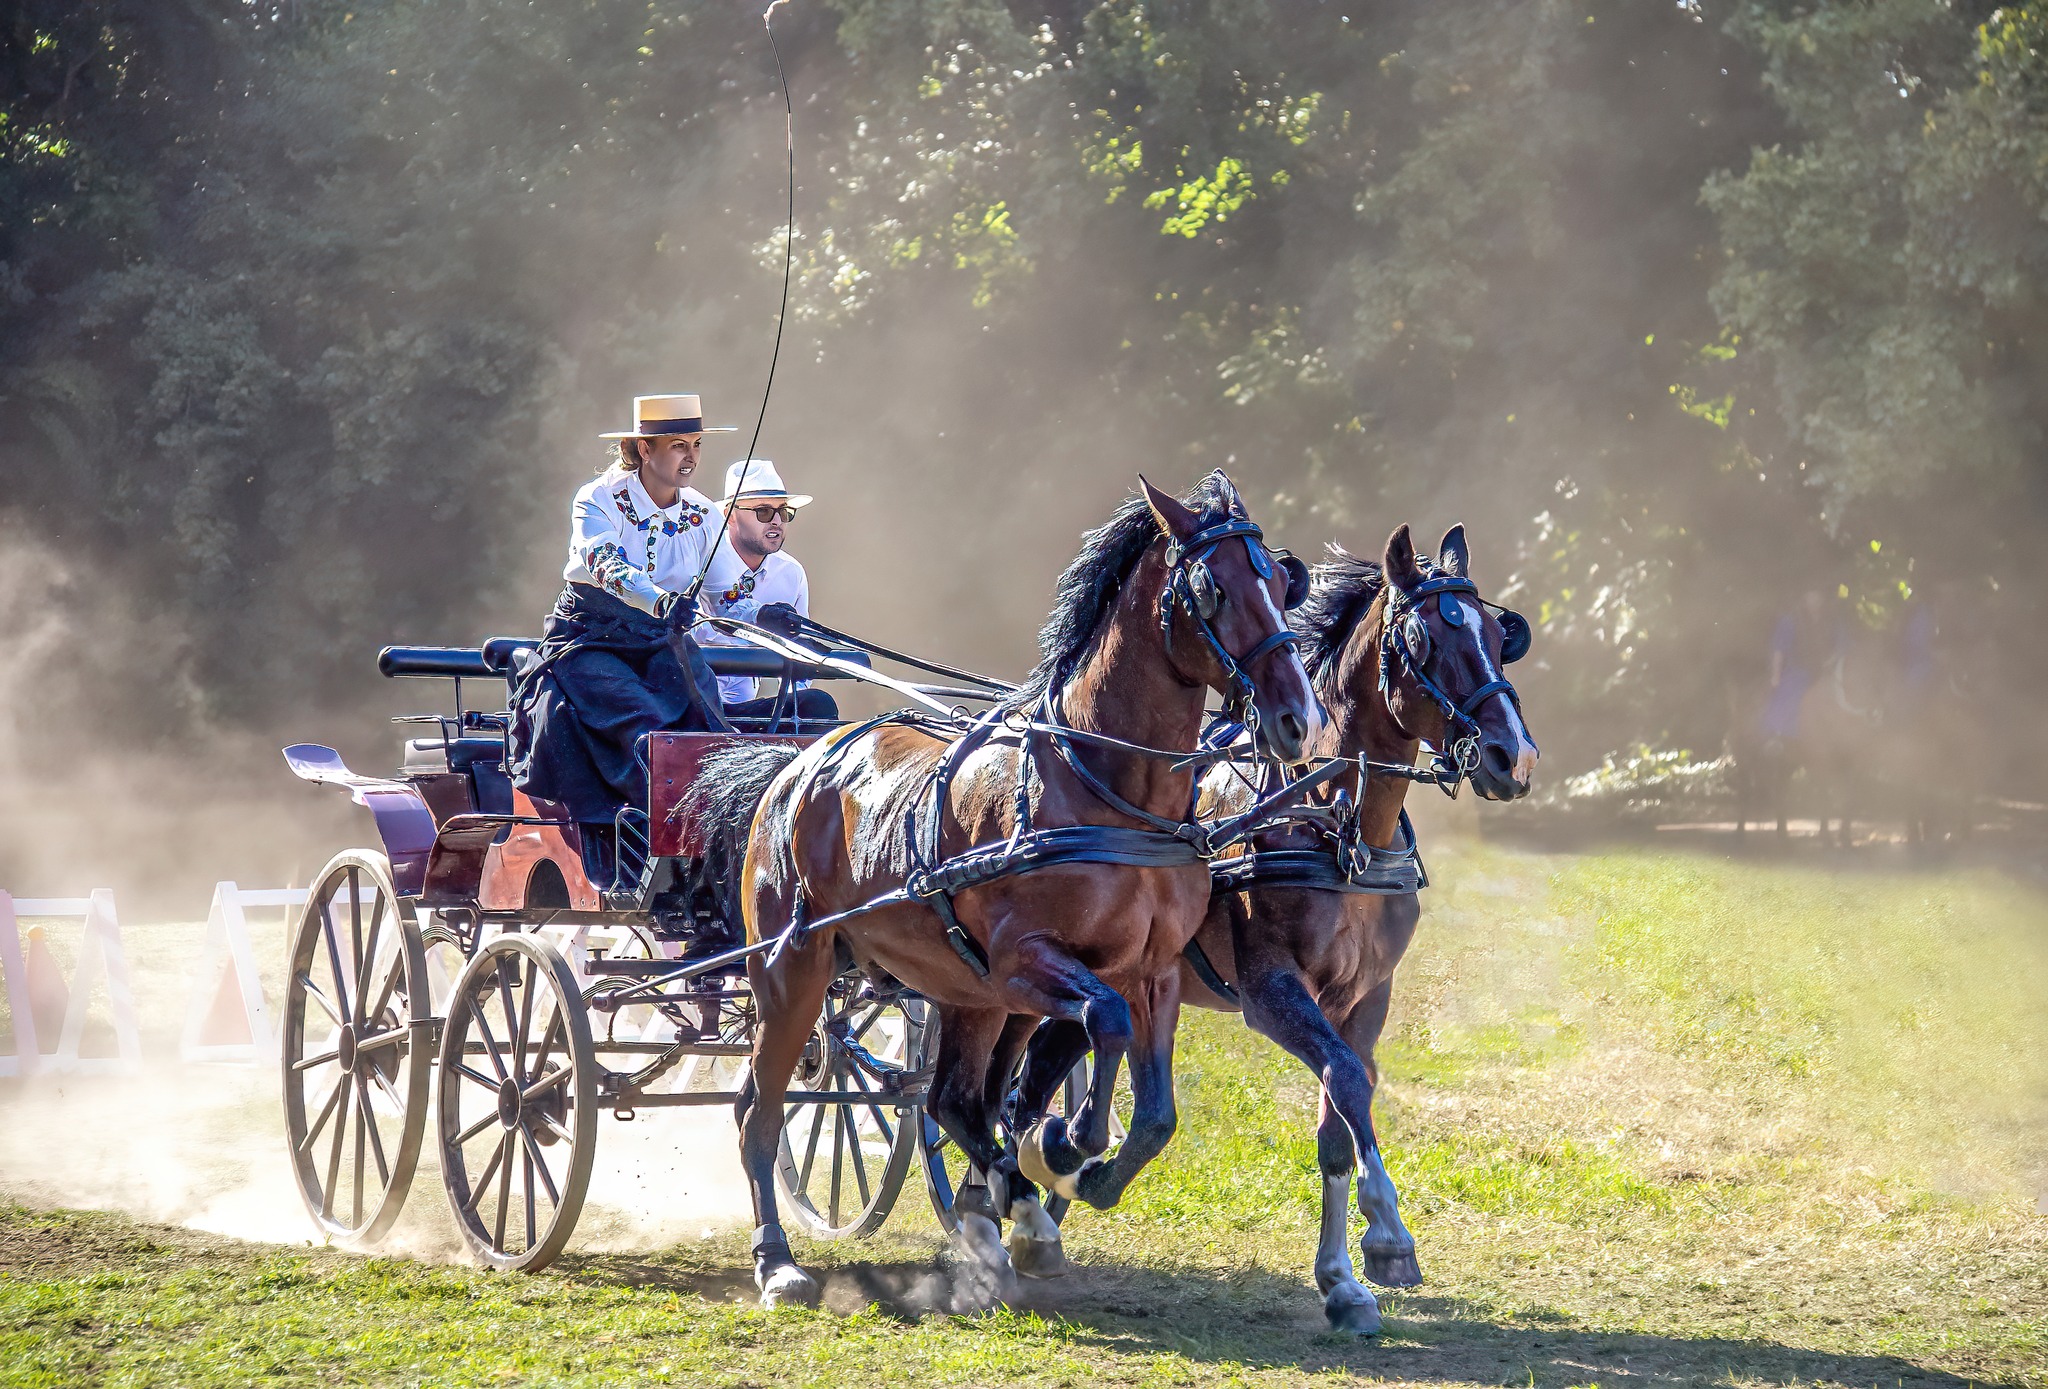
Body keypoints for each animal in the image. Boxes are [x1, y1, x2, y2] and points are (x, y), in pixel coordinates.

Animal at [696, 475, 1318, 1302]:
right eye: (1213, 588)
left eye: (1283, 583)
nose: (1296, 717)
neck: (1107, 789)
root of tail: (790, 767)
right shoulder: (1030, 958)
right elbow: (1102, 1024)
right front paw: (1067, 1141)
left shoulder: (1149, 971)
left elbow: (1153, 1113)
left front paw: (1067, 1173)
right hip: (791, 971)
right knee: (760, 1113)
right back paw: (778, 1258)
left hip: (969, 990)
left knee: (952, 1100)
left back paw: (1008, 1215)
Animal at [1015, 524, 1531, 1335]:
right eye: (1424, 639)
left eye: (1495, 635)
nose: (1516, 755)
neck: (1335, 827)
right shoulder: (1273, 991)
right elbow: (1347, 1084)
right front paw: (1388, 1235)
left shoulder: (1365, 1000)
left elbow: (1340, 1123)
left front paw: (1344, 1282)